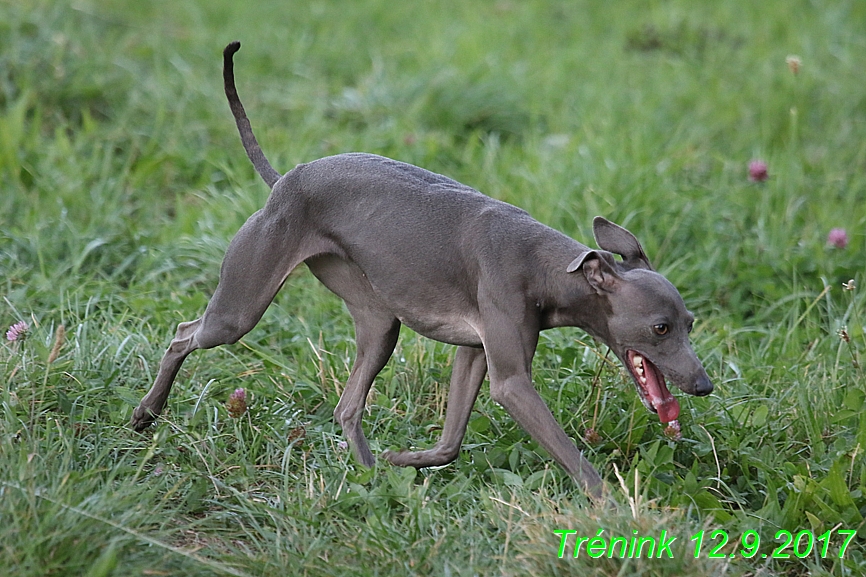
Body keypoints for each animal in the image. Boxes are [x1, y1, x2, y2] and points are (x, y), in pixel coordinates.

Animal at [130, 41, 708, 500]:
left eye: (690, 324)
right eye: (660, 328)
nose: (703, 385)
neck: (542, 262)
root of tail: (286, 180)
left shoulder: (474, 353)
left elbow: (449, 443)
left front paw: (401, 461)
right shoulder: (511, 382)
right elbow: (568, 455)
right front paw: (615, 509)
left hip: (378, 321)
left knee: (347, 407)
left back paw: (369, 472)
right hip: (242, 305)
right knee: (184, 334)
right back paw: (145, 415)